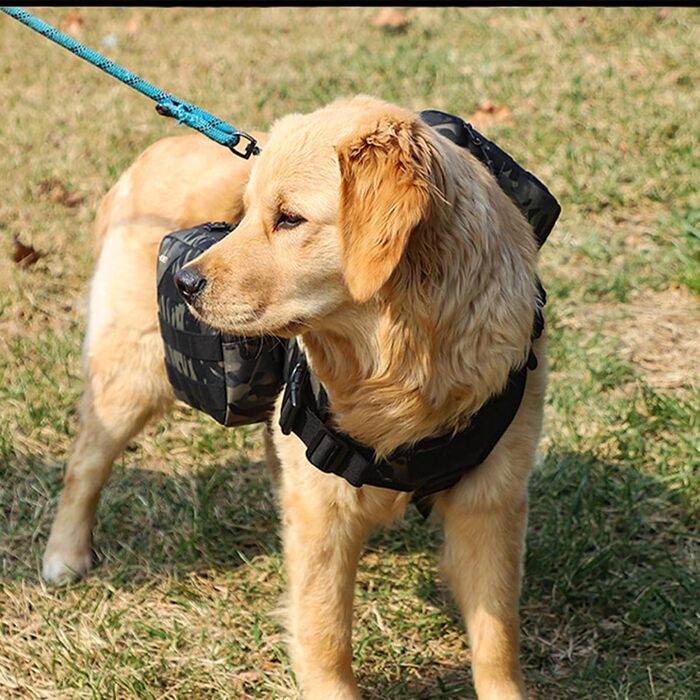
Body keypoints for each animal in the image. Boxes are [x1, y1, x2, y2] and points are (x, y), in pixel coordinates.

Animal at [42, 94, 548, 700]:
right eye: (244, 213)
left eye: (289, 218)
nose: (184, 284)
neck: (401, 359)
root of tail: (145, 159)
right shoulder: (322, 511)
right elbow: (325, 633)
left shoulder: (491, 501)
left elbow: (496, 641)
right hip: (132, 374)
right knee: (85, 464)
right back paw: (64, 555)